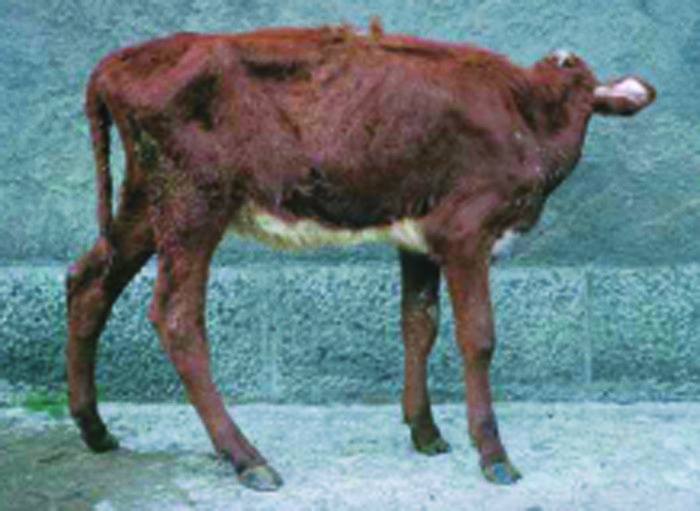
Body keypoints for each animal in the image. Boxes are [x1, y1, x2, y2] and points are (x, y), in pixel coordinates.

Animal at [65, 20, 655, 491]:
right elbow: (478, 338)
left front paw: (425, 431)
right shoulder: (466, 232)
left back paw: (93, 427)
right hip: (194, 204)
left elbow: (419, 324)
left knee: (88, 282)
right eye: (572, 72)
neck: (527, 116)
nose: (565, 56)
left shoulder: (420, 235)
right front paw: (493, 455)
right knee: (176, 317)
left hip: (148, 201)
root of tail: (120, 60)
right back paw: (246, 458)